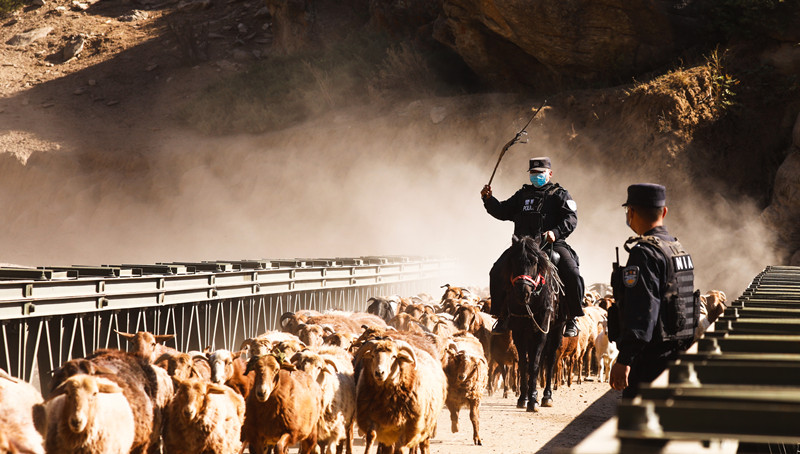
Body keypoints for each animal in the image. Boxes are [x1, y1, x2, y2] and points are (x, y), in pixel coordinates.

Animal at [504, 234, 564, 412]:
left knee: (550, 360)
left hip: (556, 330)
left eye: (534, 261)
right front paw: (524, 398)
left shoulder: (541, 332)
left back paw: (546, 396)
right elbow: (524, 364)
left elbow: (535, 365)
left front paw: (532, 401)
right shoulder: (519, 333)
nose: (522, 292)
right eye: (513, 260)